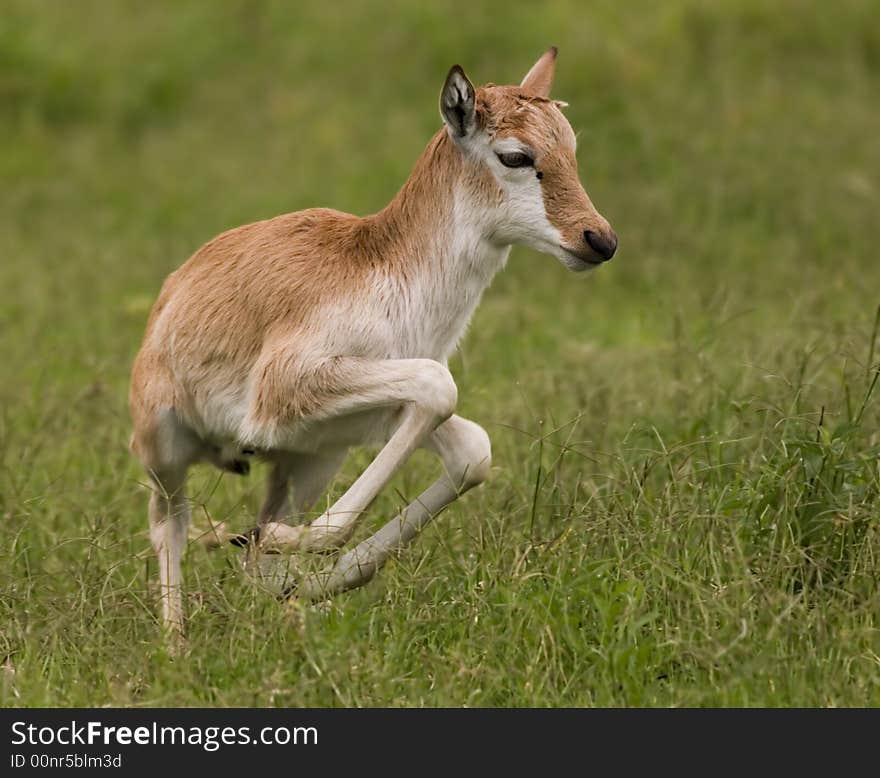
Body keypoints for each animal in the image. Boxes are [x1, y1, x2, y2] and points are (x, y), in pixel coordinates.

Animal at [131, 48, 620, 636]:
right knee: (169, 528)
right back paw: (177, 640)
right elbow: (439, 385)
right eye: (516, 155)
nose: (600, 240)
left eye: (570, 146)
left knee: (253, 544)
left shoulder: (379, 418)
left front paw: (289, 566)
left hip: (309, 462)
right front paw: (273, 548)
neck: (379, 267)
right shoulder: (294, 386)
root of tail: (171, 292)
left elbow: (473, 451)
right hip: (166, 450)